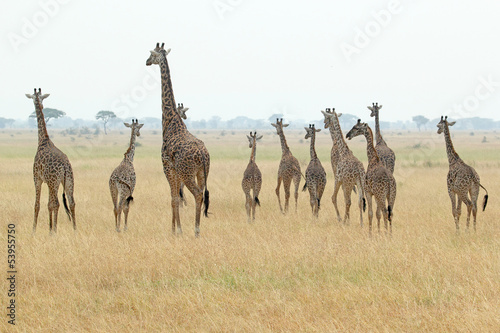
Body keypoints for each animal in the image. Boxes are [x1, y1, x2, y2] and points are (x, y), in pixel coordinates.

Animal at [25, 88, 75, 233]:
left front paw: (34, 229)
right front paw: (49, 227)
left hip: (54, 182)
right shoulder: (47, 181)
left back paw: (55, 231)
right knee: (71, 202)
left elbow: (38, 204)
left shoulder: (37, 178)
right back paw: (74, 229)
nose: (41, 106)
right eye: (41, 98)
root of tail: (65, 165)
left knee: (57, 203)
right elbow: (48, 204)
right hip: (68, 180)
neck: (43, 140)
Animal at [147, 42, 212, 237]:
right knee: (202, 194)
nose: (146, 62)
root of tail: (203, 155)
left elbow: (174, 198)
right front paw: (177, 228)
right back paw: (197, 228)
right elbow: (176, 197)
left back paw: (196, 230)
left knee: (197, 194)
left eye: (151, 55)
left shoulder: (167, 166)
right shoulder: (174, 169)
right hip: (202, 172)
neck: (170, 120)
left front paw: (176, 230)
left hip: (187, 172)